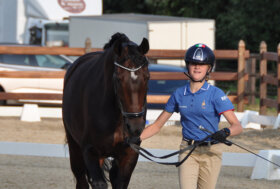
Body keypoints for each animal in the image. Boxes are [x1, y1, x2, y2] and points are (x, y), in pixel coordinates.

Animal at [62, 33, 150, 188]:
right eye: (119, 79)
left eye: (147, 77)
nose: (135, 127)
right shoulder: (89, 151)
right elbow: (99, 183)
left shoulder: (130, 153)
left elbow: (120, 181)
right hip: (75, 146)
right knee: (81, 179)